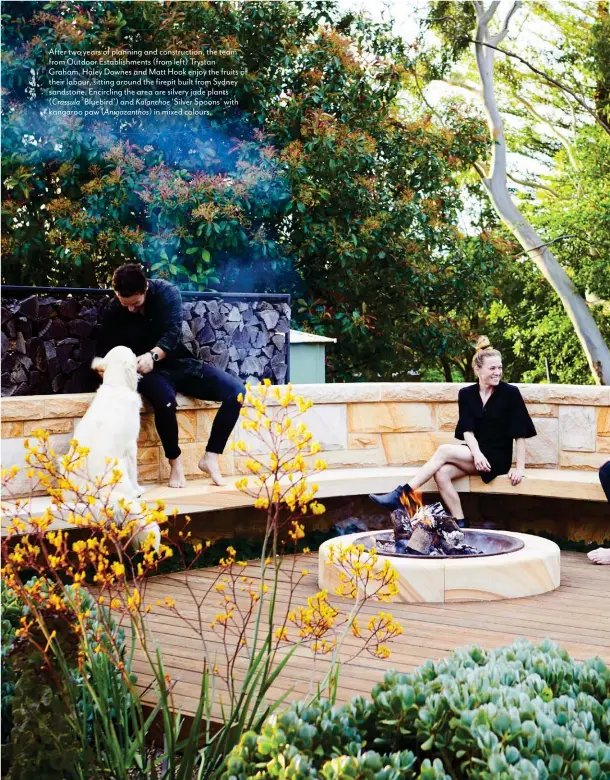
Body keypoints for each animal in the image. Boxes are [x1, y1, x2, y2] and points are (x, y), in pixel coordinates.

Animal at [66, 348, 159, 548]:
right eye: (134, 357)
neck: (116, 386)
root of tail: (91, 491)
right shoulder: (131, 446)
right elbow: (134, 471)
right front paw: (139, 490)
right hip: (118, 468)